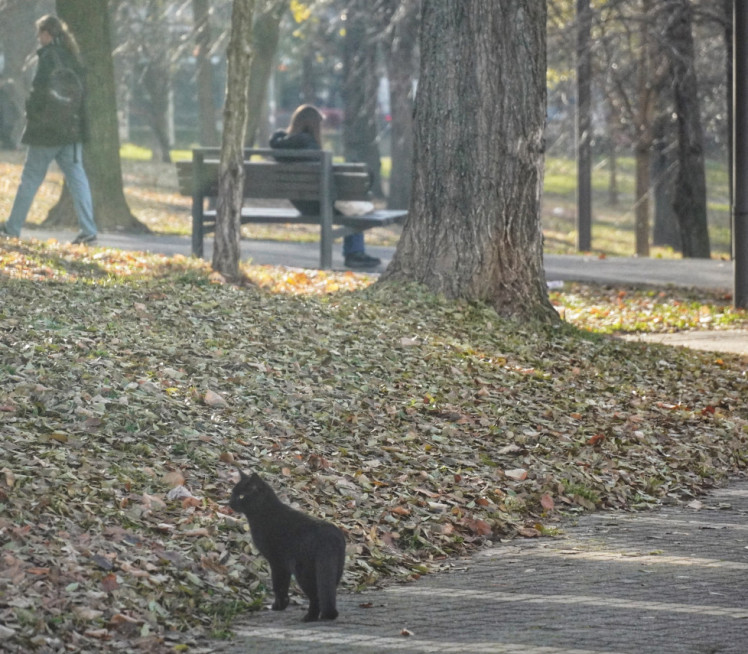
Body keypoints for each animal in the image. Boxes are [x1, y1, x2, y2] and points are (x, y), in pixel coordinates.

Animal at [229, 474, 346, 624]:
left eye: (241, 496)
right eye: (233, 493)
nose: (230, 502)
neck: (265, 512)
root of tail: (329, 537)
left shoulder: (277, 562)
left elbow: (278, 585)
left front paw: (278, 605)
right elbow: (283, 586)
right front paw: (282, 604)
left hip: (303, 571)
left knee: (315, 596)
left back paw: (309, 617)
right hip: (334, 569)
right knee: (327, 592)